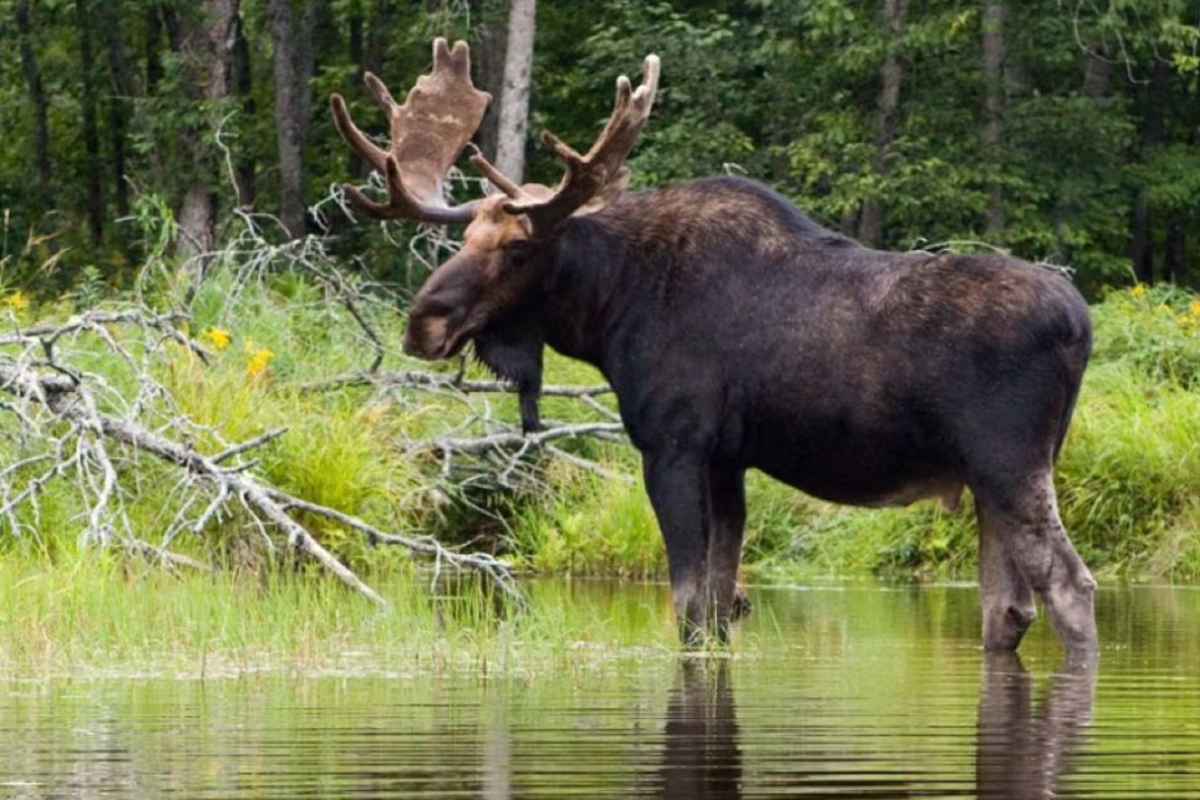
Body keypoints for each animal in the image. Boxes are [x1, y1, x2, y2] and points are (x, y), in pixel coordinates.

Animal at [330, 39, 1099, 663]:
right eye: (463, 239)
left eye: (518, 248)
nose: (422, 322)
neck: (609, 309)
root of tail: (1083, 325)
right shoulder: (730, 459)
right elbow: (723, 606)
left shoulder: (673, 444)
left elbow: (691, 607)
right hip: (993, 478)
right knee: (1007, 609)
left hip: (1008, 463)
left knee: (1070, 588)